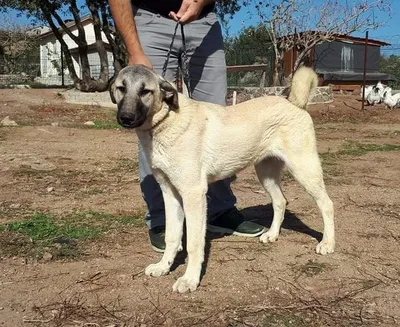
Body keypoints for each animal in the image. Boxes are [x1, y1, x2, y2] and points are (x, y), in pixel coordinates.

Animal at [111, 64, 334, 294]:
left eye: (145, 91)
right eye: (121, 88)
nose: (126, 117)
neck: (167, 121)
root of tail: (294, 103)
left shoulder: (193, 194)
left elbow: (193, 243)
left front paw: (190, 279)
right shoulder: (170, 193)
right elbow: (172, 236)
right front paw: (164, 266)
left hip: (304, 169)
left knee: (326, 203)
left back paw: (327, 244)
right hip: (266, 174)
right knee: (280, 201)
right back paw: (272, 234)